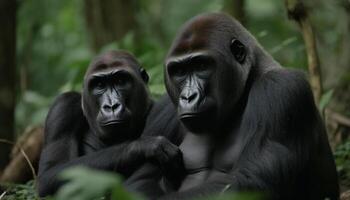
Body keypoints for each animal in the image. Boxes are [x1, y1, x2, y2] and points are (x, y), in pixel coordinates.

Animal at [37, 50, 180, 198]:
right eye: (100, 85)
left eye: (121, 81)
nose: (111, 106)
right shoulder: (63, 106)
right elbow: (51, 173)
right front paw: (142, 146)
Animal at [161, 12, 340, 200]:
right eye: (180, 71)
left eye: (202, 65)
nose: (188, 97)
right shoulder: (166, 105)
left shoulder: (279, 87)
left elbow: (252, 181)